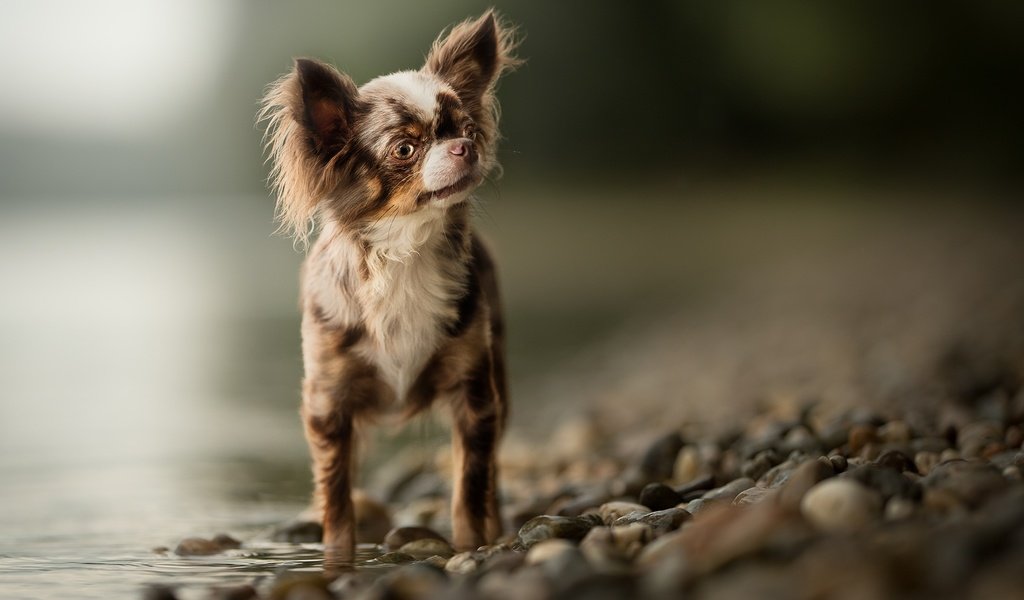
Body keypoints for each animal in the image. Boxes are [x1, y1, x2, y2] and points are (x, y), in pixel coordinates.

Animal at [256, 11, 520, 556]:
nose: (466, 146)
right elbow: (337, 500)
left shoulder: (475, 398)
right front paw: (338, 555)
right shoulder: (329, 407)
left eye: (467, 128)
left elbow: (470, 485)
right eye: (405, 148)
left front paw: (471, 547)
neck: (404, 255)